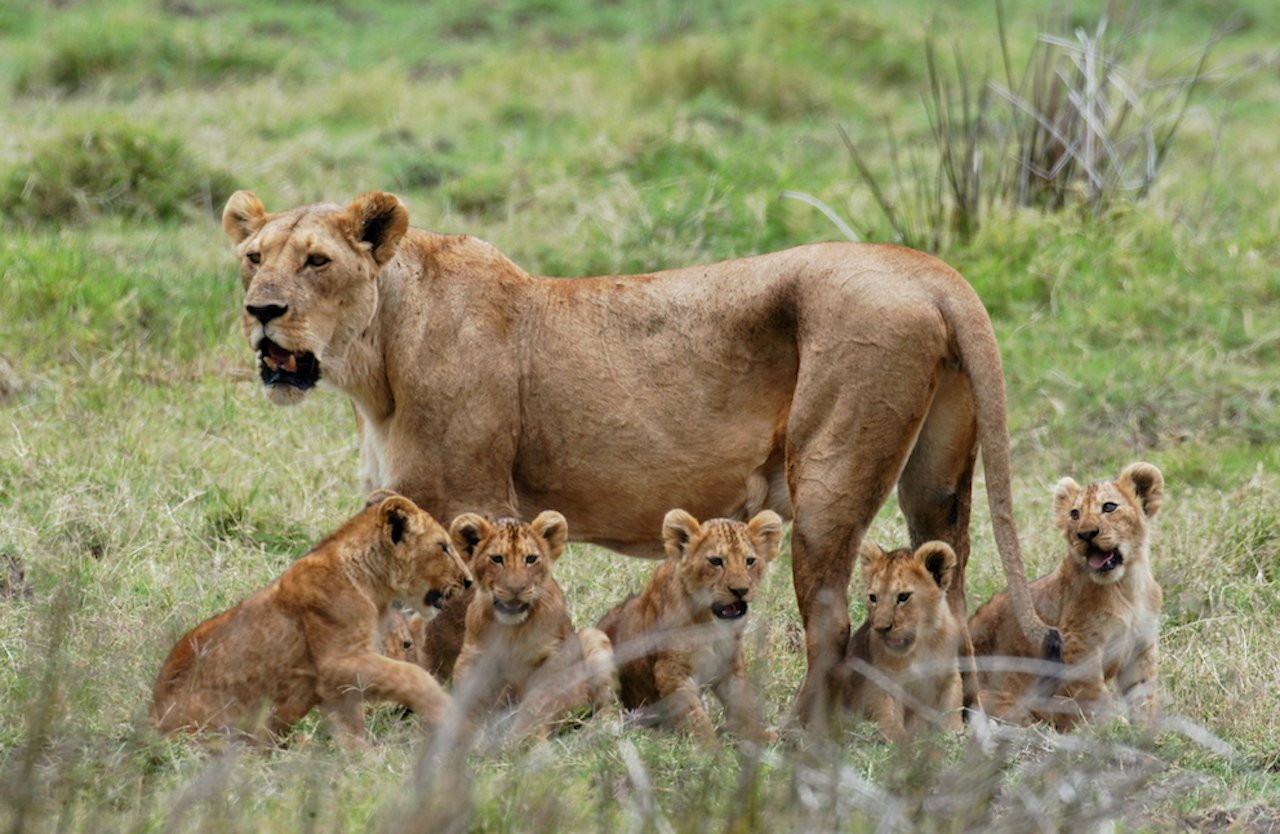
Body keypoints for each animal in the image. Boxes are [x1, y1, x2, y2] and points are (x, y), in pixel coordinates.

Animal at [150, 492, 472, 747]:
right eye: (444, 547)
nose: (468, 581)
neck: (373, 588)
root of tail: (152, 723)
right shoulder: (337, 661)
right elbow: (412, 675)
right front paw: (449, 712)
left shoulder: (334, 685)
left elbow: (351, 729)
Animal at [448, 511, 616, 741]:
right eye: (497, 559)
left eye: (530, 559)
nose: (516, 589)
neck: (511, 630)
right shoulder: (472, 658)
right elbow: (468, 706)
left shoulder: (554, 660)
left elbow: (536, 706)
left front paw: (524, 741)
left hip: (594, 639)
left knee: (607, 704)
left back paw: (601, 729)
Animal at [596, 509, 783, 743]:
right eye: (715, 561)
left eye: (750, 561)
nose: (740, 590)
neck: (710, 624)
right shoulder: (671, 672)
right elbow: (695, 717)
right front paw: (710, 748)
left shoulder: (730, 663)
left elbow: (743, 703)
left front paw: (758, 738)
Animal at [842, 541, 964, 741]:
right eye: (873, 597)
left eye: (903, 597)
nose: (881, 628)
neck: (919, 647)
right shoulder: (883, 679)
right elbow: (888, 716)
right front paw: (899, 742)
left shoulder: (949, 673)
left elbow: (952, 706)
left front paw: (953, 735)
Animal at [968, 462, 1165, 730]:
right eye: (1074, 514)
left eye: (1109, 507)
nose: (1086, 534)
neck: (1126, 586)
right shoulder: (1077, 644)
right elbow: (1094, 696)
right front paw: (1112, 729)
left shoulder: (1140, 648)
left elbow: (1144, 696)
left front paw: (1148, 730)